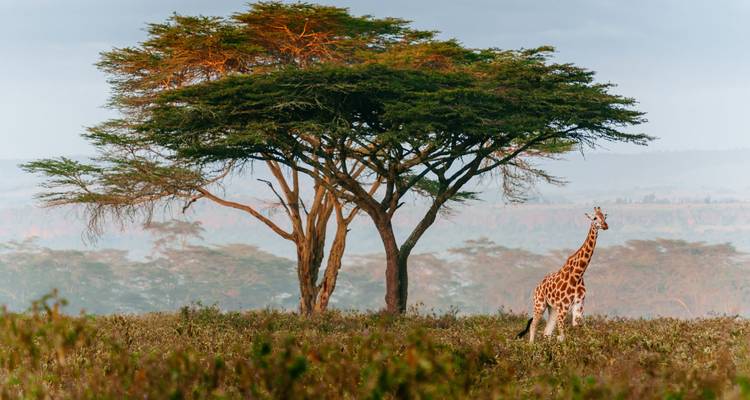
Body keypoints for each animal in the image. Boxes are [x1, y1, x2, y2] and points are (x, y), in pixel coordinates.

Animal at [516, 206, 608, 342]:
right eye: (595, 218)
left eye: (605, 217)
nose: (605, 225)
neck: (578, 273)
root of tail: (537, 286)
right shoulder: (564, 306)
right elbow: (562, 336)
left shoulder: (579, 304)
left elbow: (578, 328)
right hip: (540, 304)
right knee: (533, 326)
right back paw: (531, 346)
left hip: (553, 309)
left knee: (547, 332)